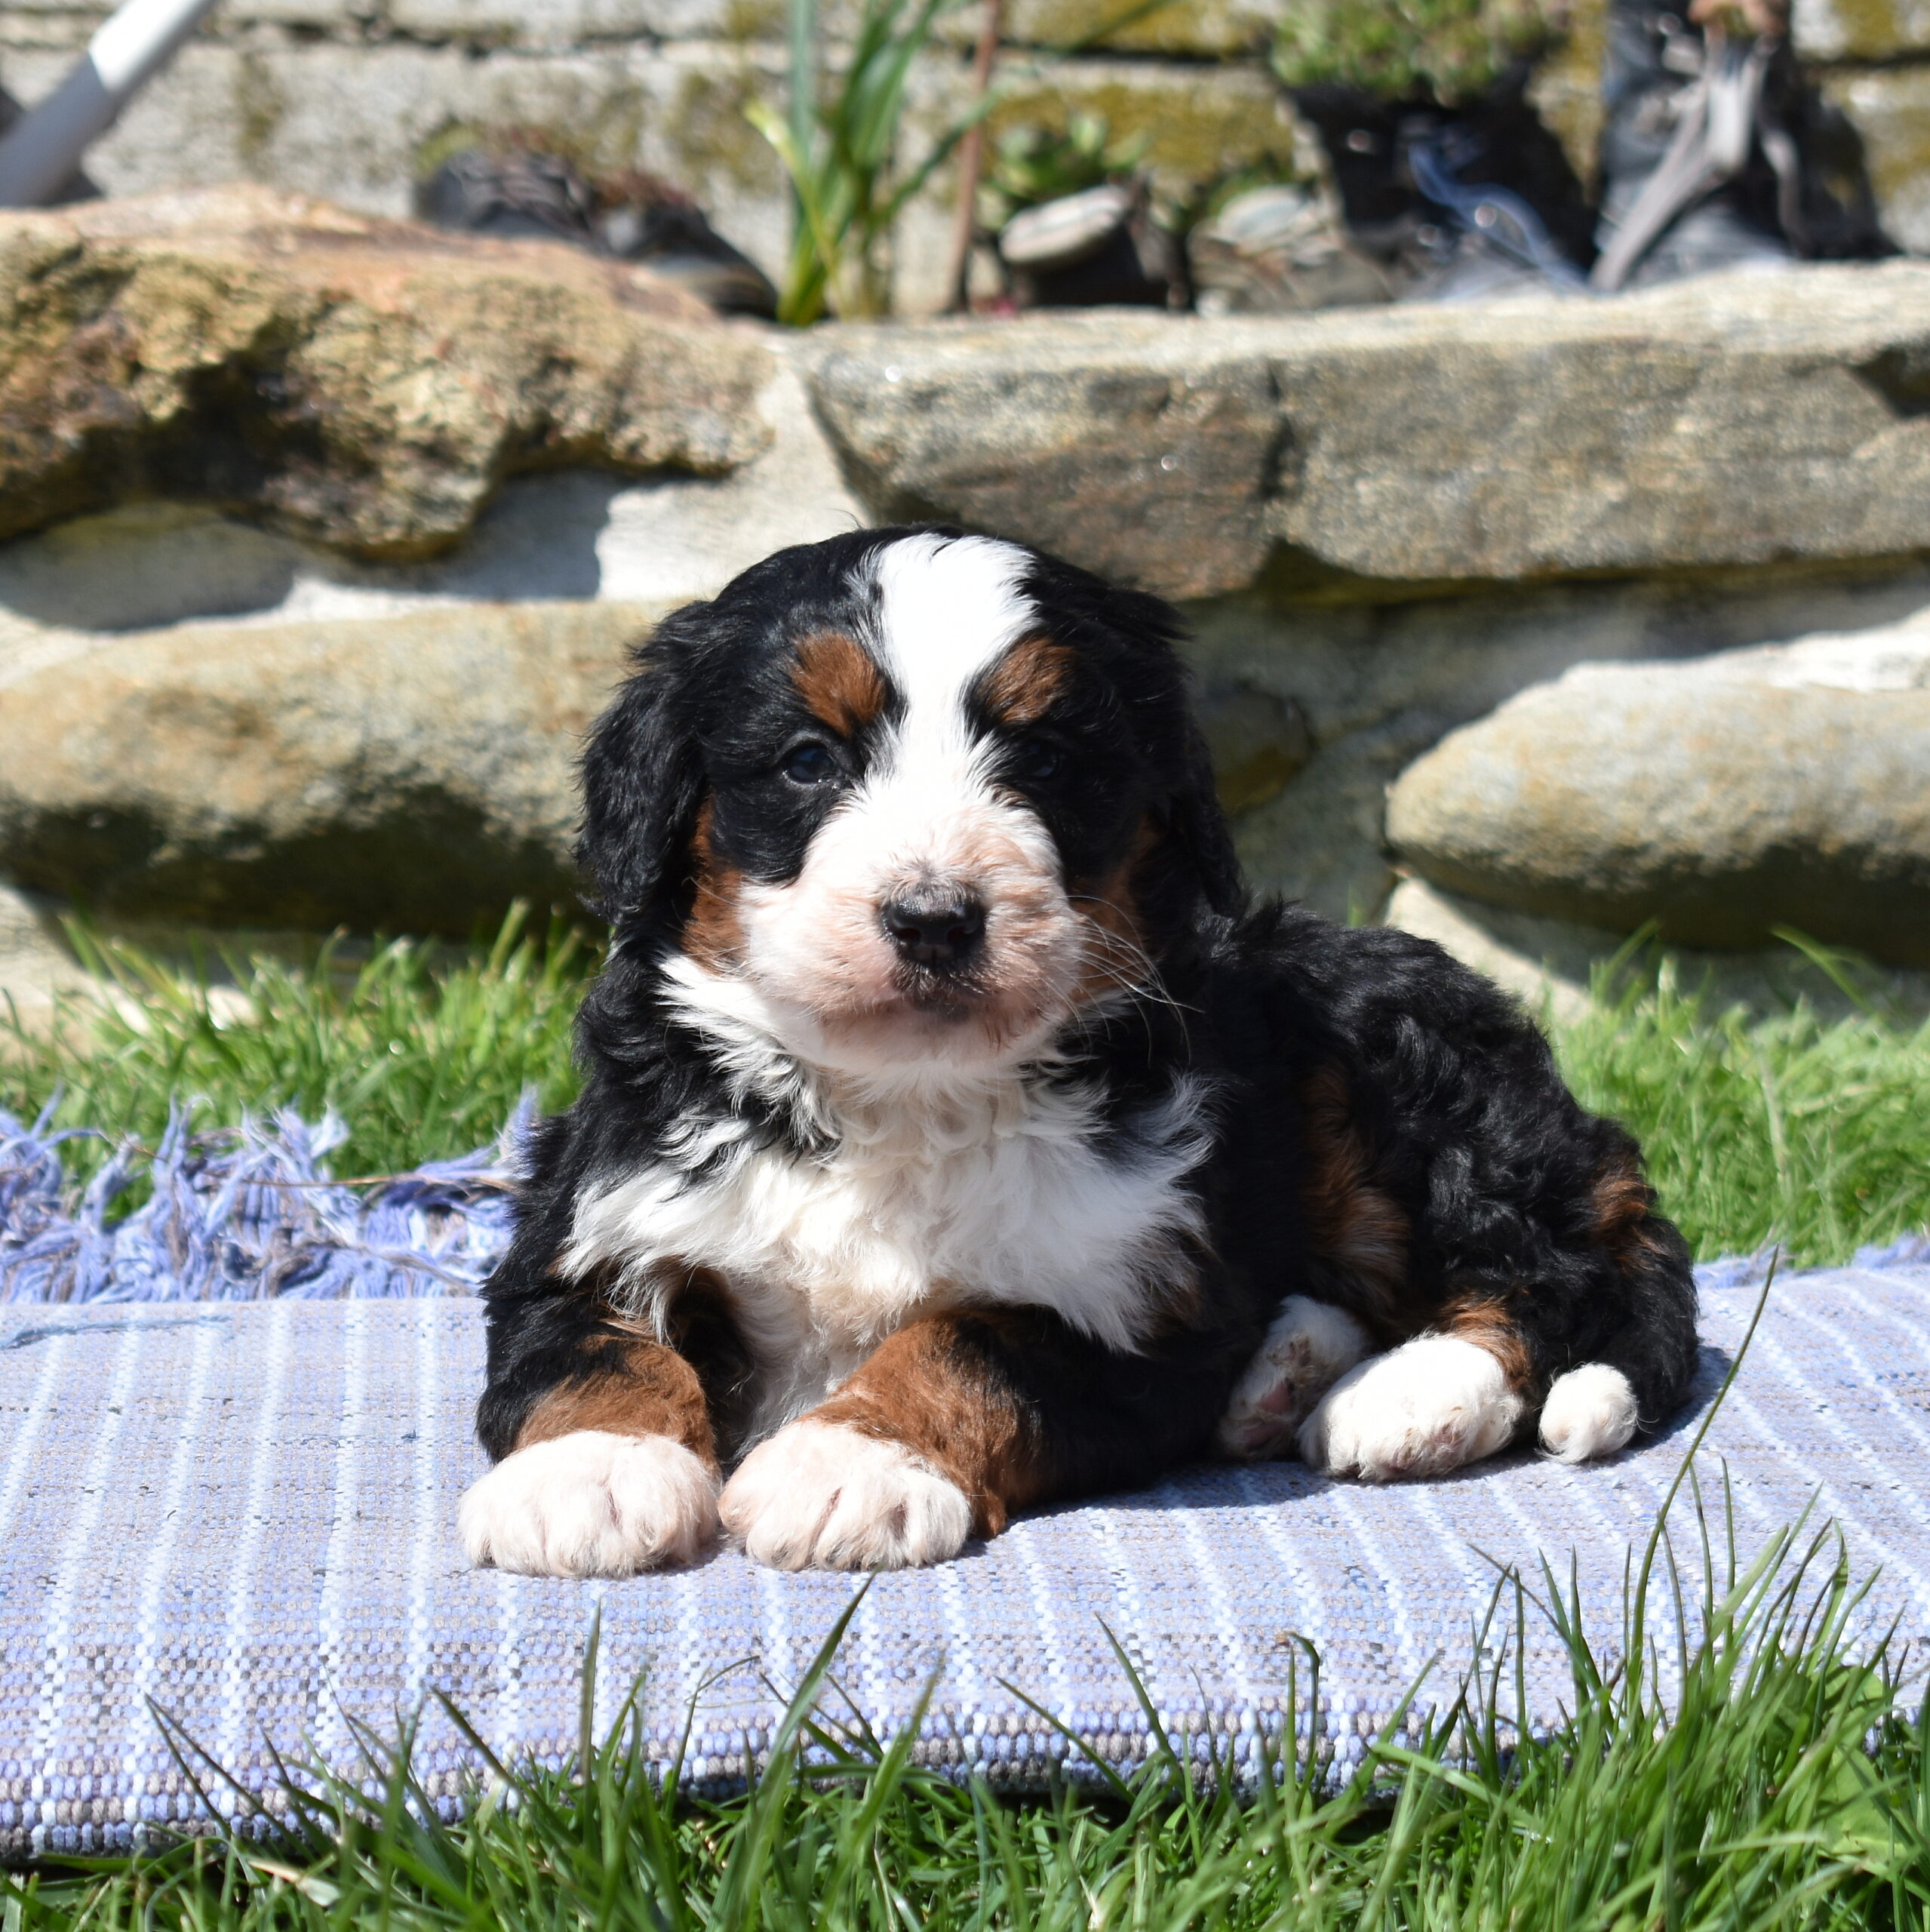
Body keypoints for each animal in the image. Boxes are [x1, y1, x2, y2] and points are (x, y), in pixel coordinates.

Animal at [458, 527, 1699, 1578]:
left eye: (1047, 760)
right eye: (808, 759)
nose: (933, 918)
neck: (905, 1098)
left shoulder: (1142, 1308)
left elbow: (969, 1341)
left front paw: (849, 1461)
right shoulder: (594, 1209)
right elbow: (588, 1342)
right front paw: (592, 1472)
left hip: (1382, 1049)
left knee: (1544, 1269)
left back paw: (1405, 1394)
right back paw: (1285, 1370)